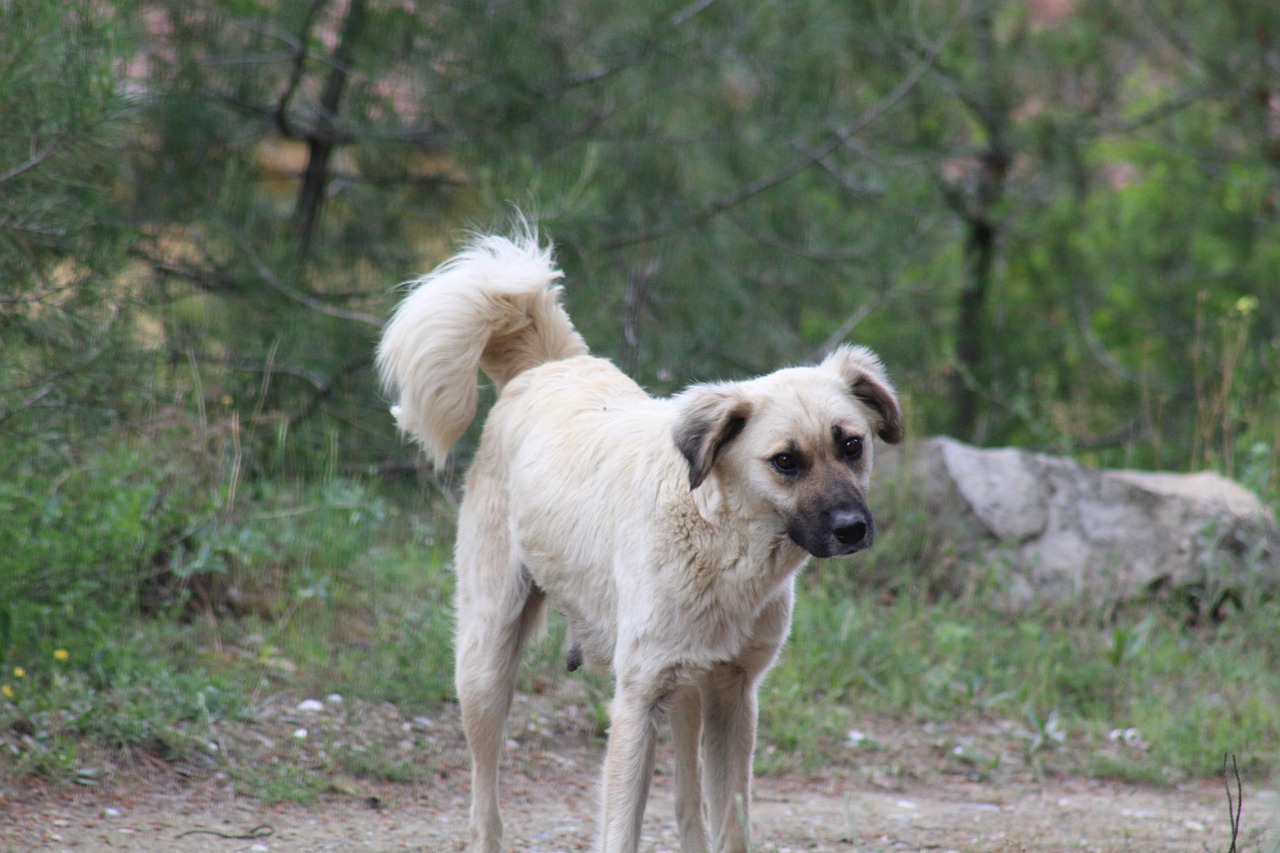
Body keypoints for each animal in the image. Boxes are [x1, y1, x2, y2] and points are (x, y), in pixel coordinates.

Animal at [373, 225, 906, 850]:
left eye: (851, 445)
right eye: (785, 462)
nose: (853, 529)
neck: (721, 545)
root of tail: (549, 366)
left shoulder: (732, 695)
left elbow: (727, 825)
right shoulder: (639, 699)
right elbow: (621, 828)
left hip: (688, 691)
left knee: (687, 806)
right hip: (486, 662)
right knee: (485, 806)